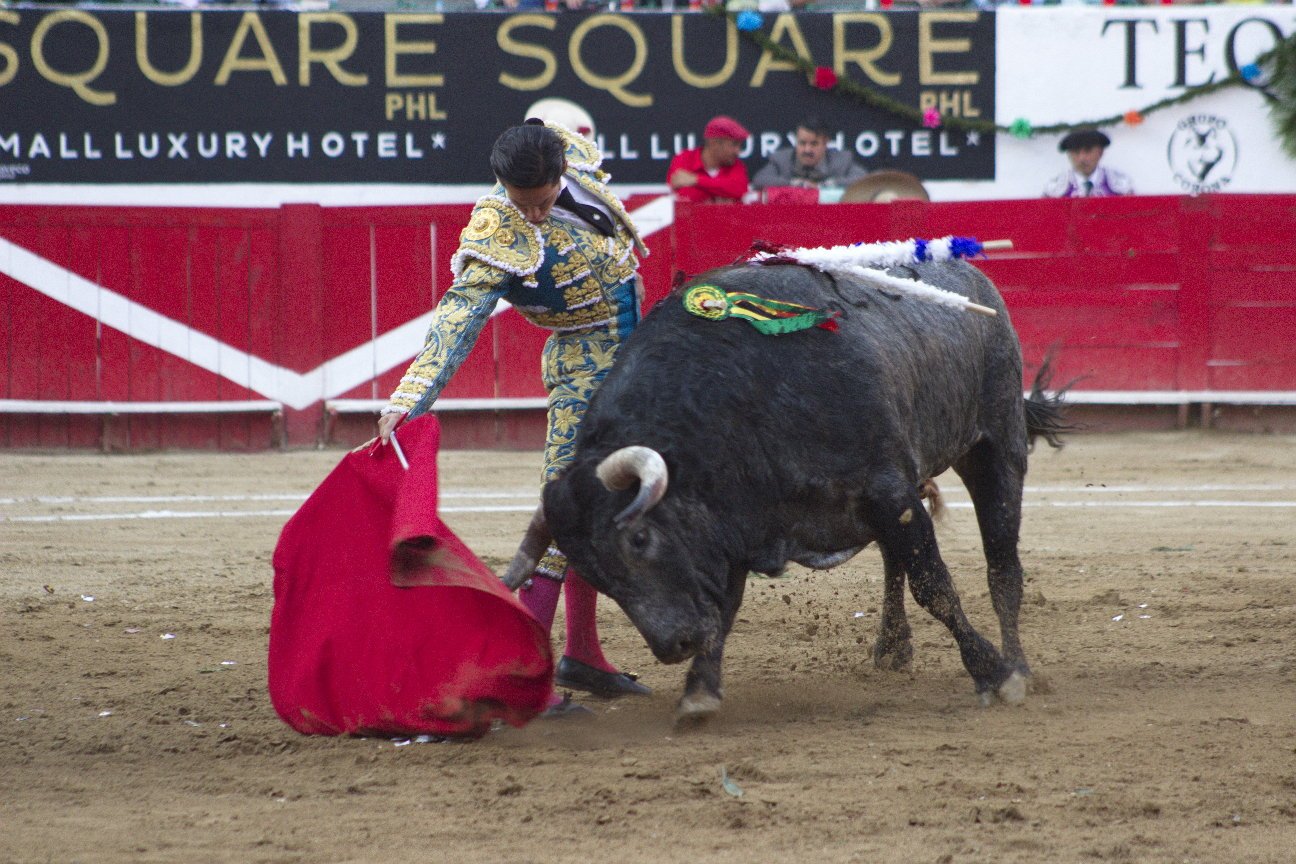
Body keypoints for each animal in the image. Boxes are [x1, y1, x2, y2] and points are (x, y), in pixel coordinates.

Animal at [503, 255, 1068, 724]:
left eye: (639, 539)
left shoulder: (890, 495)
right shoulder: (732, 525)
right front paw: (698, 692)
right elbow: (725, 606)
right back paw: (892, 647)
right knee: (895, 562)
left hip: (995, 445)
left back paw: (1018, 663)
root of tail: (974, 277)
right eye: (595, 574)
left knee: (1002, 567)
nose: (674, 644)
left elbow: (935, 587)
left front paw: (994, 675)